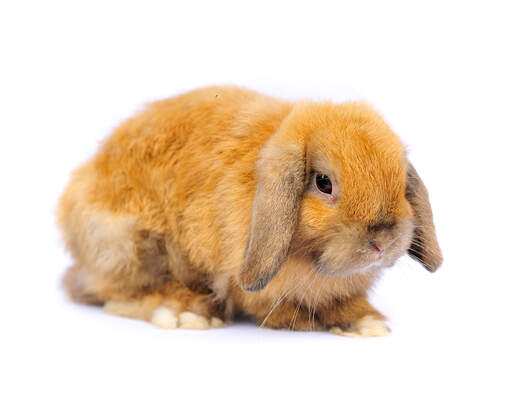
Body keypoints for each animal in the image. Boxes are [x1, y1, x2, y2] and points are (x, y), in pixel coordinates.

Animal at [58, 84, 442, 336]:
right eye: (324, 183)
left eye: (400, 182)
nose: (382, 242)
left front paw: (367, 321)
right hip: (129, 242)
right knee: (116, 293)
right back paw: (186, 313)